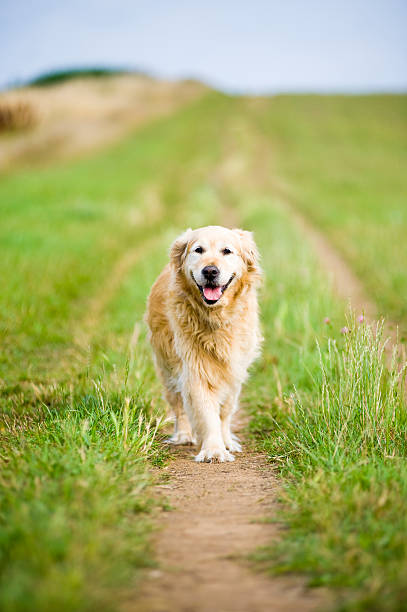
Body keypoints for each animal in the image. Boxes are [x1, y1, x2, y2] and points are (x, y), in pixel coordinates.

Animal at [145, 227, 262, 462]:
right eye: (198, 250)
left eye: (227, 251)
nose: (210, 271)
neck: (216, 317)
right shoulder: (195, 368)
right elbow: (206, 412)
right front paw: (214, 449)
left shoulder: (234, 368)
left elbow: (225, 410)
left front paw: (226, 442)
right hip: (167, 367)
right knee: (178, 404)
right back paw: (184, 435)